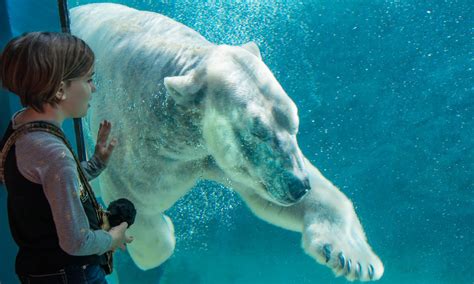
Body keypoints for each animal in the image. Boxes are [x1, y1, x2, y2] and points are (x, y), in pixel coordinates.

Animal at [70, 3, 384, 280]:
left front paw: (353, 258)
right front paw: (164, 230)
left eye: (294, 123)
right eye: (257, 131)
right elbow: (137, 203)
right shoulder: (140, 146)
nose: (298, 185)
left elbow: (270, 195)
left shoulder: (215, 155)